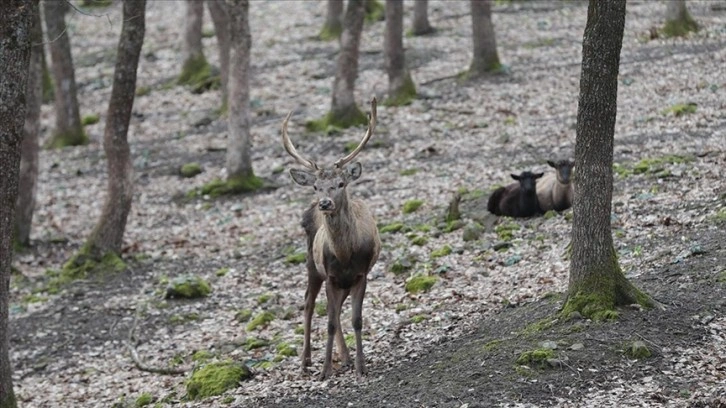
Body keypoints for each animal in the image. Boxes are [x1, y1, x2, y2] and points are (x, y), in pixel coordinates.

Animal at [282, 97, 384, 380]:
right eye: (316, 186)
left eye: (340, 183)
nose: (325, 203)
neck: (345, 254)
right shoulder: (329, 274)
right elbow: (328, 322)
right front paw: (325, 370)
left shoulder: (361, 274)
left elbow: (355, 319)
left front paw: (361, 366)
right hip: (311, 262)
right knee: (308, 302)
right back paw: (305, 361)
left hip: (341, 281)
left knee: (337, 310)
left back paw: (346, 358)